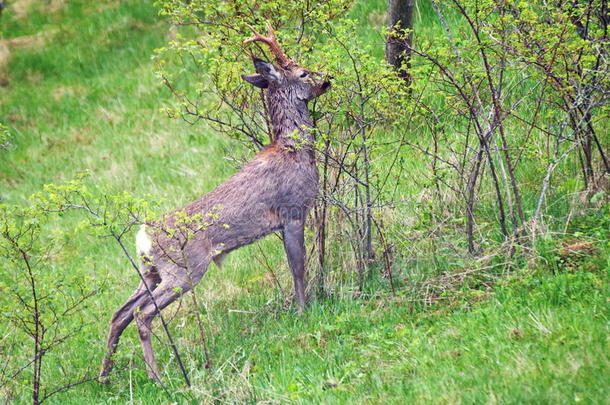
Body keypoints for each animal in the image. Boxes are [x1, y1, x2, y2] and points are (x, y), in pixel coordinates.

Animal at [97, 22, 330, 382]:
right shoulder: (292, 211)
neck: (294, 150)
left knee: (119, 312)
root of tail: (143, 236)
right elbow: (298, 267)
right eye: (304, 72)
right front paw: (304, 311)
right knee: (142, 314)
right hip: (185, 269)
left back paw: (105, 376)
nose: (327, 80)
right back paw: (156, 377)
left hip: (150, 271)